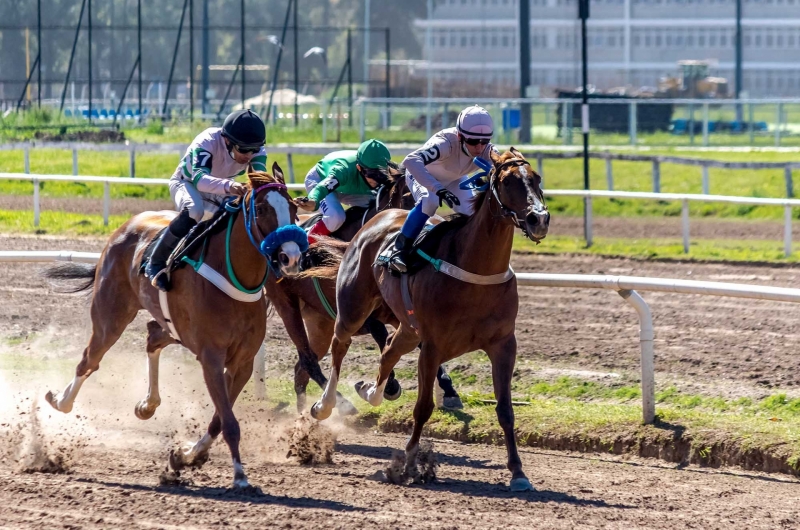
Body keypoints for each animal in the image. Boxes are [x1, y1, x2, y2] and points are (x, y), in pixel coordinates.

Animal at [44, 164, 306, 486]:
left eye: (293, 208)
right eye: (261, 209)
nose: (291, 257)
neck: (233, 276)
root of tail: (125, 227)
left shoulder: (242, 362)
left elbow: (219, 418)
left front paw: (187, 456)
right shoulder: (211, 358)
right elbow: (229, 422)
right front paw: (240, 475)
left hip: (172, 327)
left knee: (152, 337)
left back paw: (147, 404)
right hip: (110, 316)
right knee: (89, 361)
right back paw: (61, 401)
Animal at [310, 146, 548, 488]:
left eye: (536, 178)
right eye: (506, 181)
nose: (539, 218)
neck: (476, 270)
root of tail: (377, 218)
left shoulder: (504, 345)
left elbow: (505, 410)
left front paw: (518, 472)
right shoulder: (433, 346)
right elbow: (423, 408)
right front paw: (409, 463)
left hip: (408, 329)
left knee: (388, 351)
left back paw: (372, 391)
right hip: (354, 308)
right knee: (340, 346)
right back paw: (324, 405)